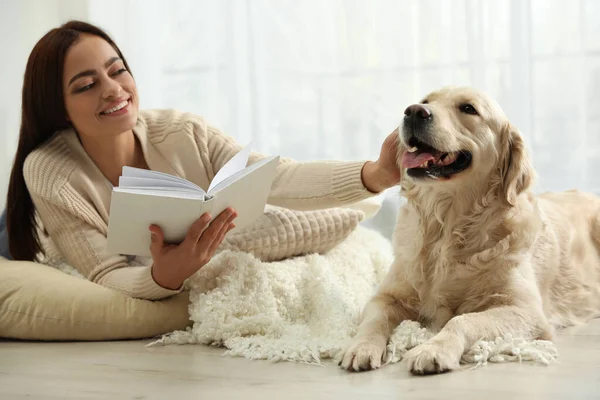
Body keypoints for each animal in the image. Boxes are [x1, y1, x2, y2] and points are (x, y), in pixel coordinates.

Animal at [338, 86, 600, 376]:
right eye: (426, 101)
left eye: (468, 108)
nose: (414, 112)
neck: (446, 226)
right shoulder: (386, 295)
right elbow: (374, 319)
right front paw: (360, 347)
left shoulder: (525, 310)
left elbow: (463, 320)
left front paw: (433, 349)